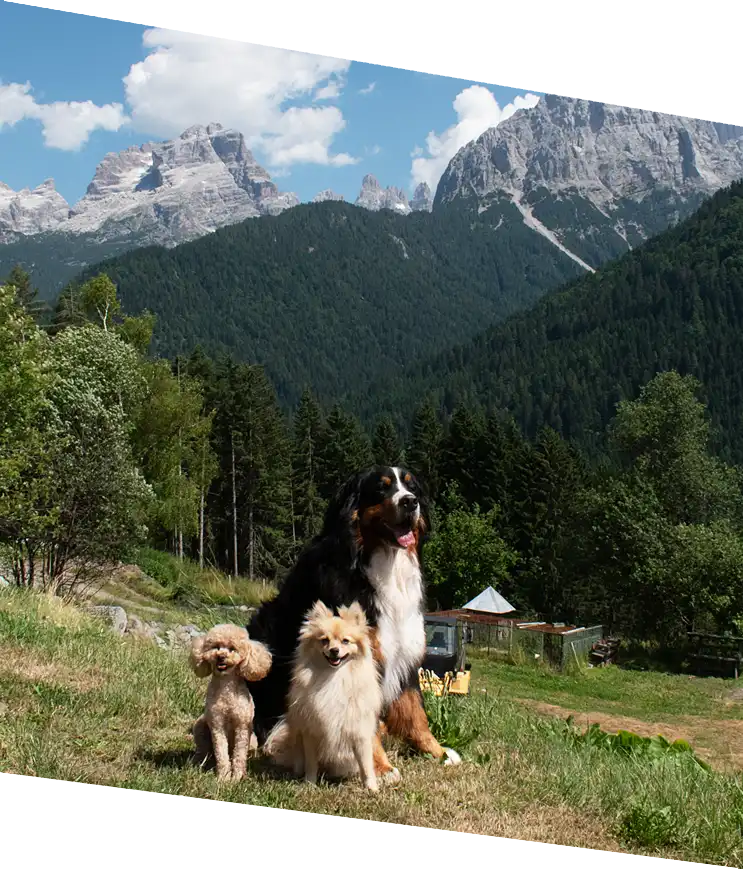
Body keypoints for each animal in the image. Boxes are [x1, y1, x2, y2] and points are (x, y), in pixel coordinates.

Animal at [264, 600, 384, 792]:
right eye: (324, 641)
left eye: (345, 641)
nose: (334, 650)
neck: (333, 677)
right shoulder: (311, 732)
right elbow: (311, 764)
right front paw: (309, 783)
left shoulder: (359, 733)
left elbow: (366, 765)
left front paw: (371, 788)